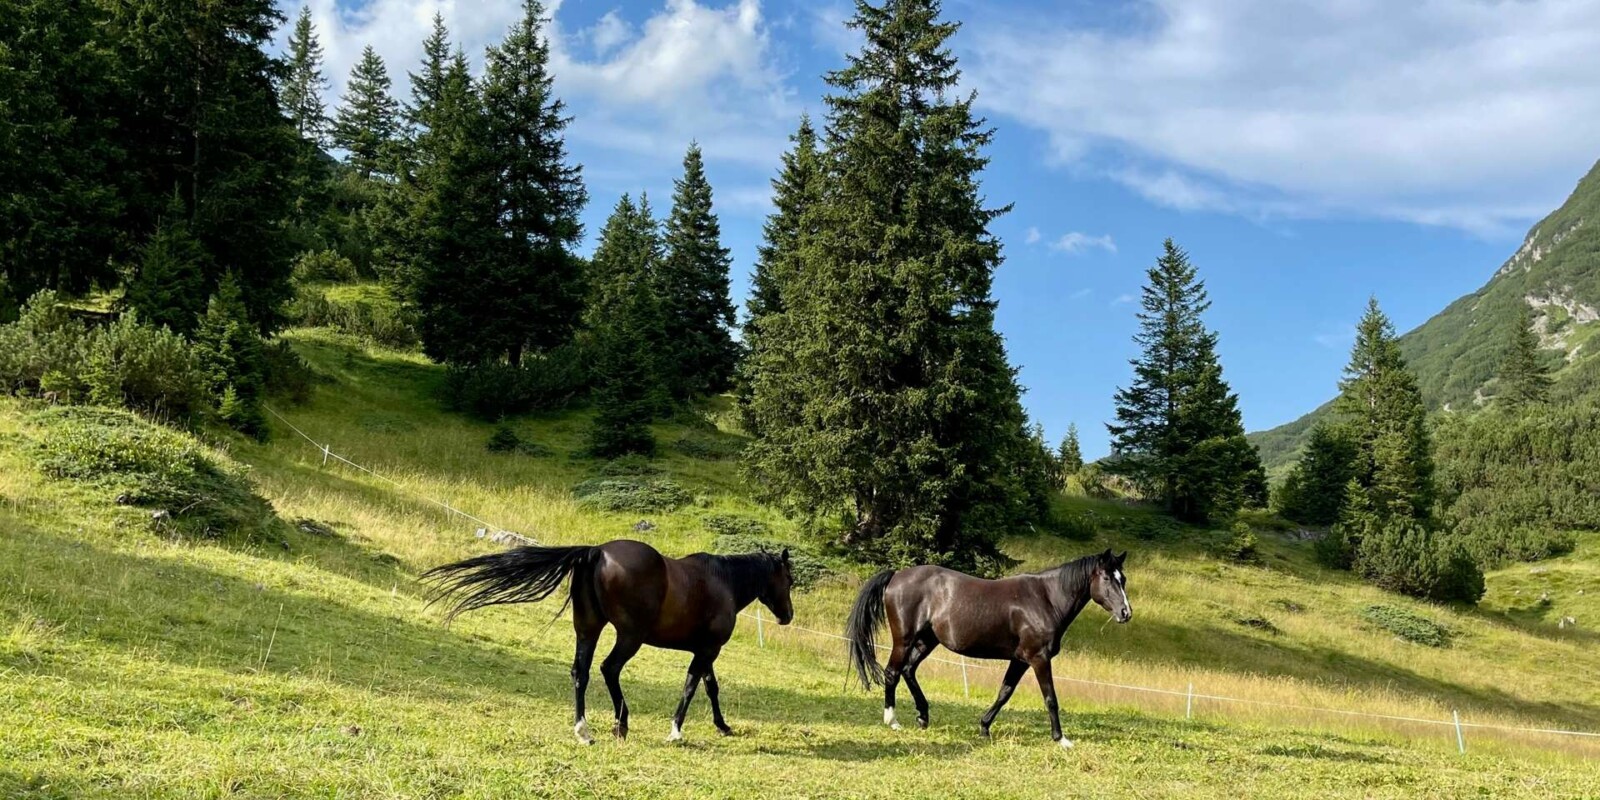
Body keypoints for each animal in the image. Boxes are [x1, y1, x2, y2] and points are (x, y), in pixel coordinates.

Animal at [422, 539, 795, 744]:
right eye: (789, 580)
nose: (787, 616)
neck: (723, 582)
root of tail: (597, 553)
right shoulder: (708, 650)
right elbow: (693, 687)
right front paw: (676, 730)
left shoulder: (705, 651)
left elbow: (709, 687)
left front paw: (722, 725)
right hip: (629, 636)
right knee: (609, 668)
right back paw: (621, 723)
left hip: (588, 629)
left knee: (581, 672)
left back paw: (584, 730)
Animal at [845, 548, 1131, 748]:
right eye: (1107, 577)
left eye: (1123, 579)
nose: (1126, 613)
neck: (1046, 599)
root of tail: (896, 575)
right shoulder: (1039, 658)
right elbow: (1050, 699)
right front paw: (1061, 739)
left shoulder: (1020, 660)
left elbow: (1004, 692)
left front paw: (984, 727)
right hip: (904, 640)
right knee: (892, 672)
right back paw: (892, 720)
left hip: (927, 641)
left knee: (908, 670)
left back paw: (923, 716)